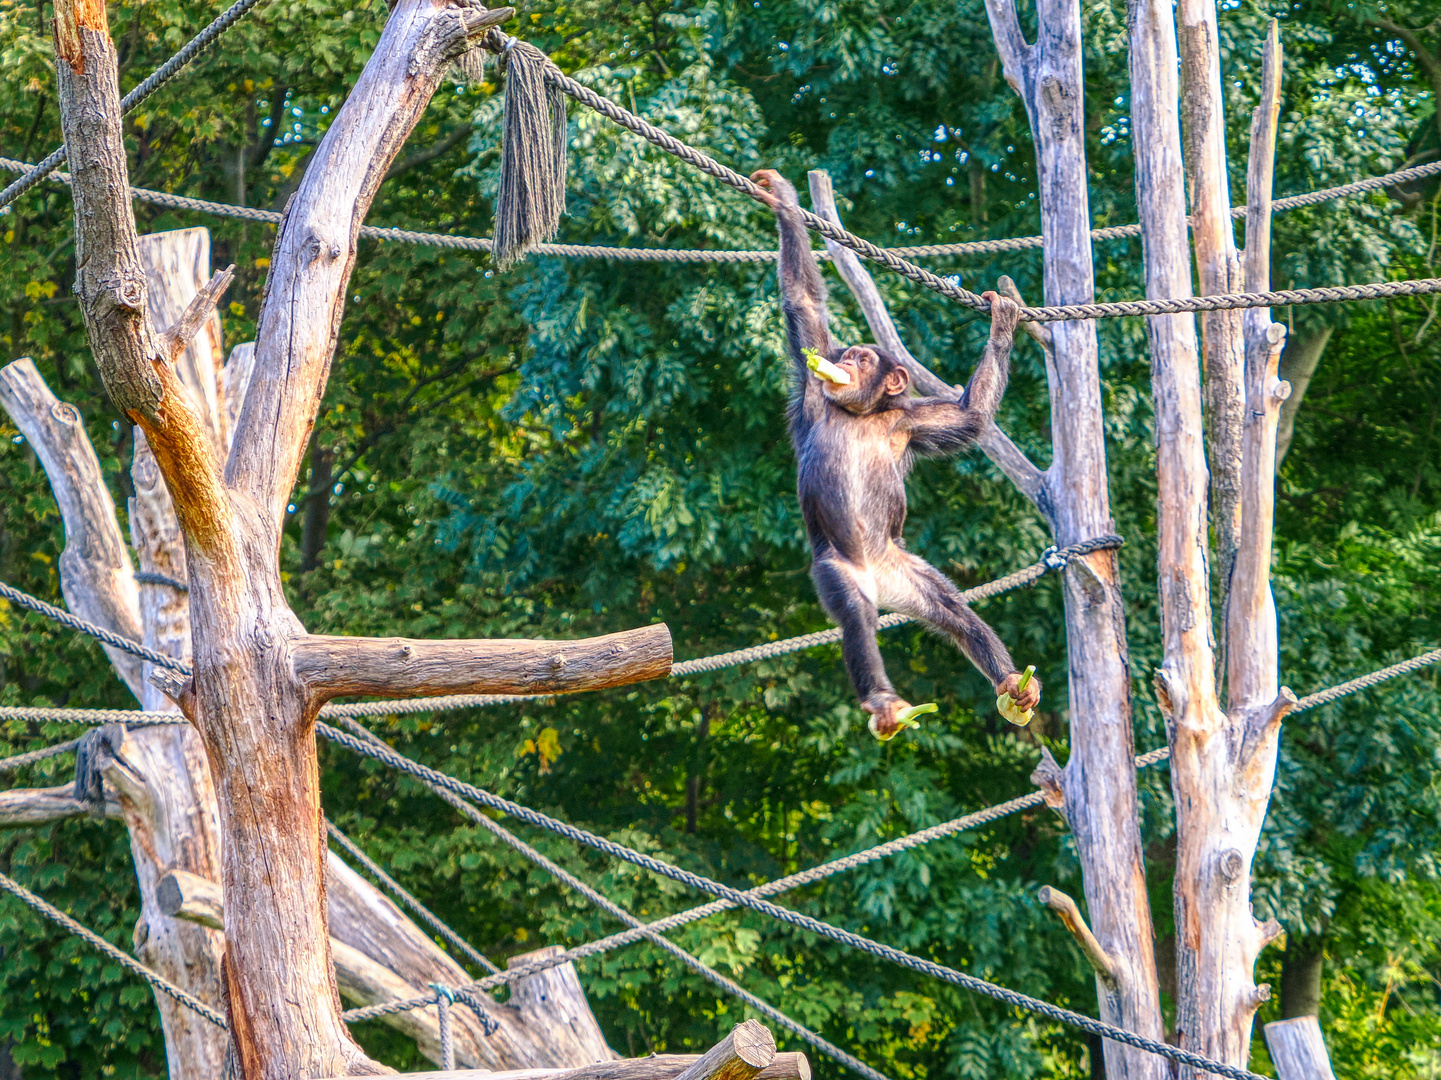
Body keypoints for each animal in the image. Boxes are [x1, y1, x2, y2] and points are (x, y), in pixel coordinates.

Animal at [755, 168, 1037, 744]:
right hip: (843, 570)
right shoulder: (814, 390)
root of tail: (883, 584)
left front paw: (1003, 322)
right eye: (849, 354)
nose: (848, 362)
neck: (863, 412)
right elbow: (803, 302)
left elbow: (970, 417)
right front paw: (785, 199)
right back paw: (885, 701)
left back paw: (1010, 683)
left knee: (954, 609)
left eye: (865, 358)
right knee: (857, 619)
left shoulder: (914, 422)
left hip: (907, 571)